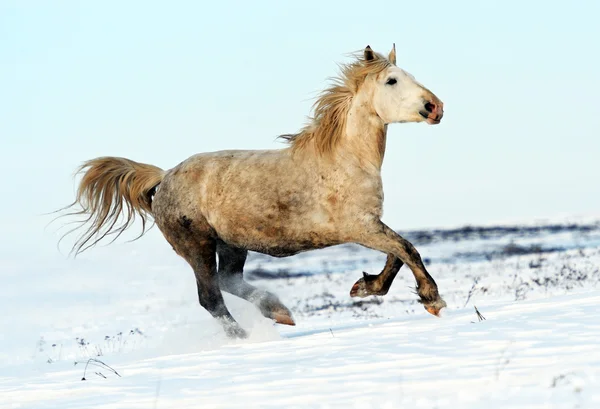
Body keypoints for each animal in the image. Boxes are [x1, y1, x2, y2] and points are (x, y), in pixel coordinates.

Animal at [59, 44, 446, 338]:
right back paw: (244, 337)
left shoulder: (369, 225)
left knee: (229, 280)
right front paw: (432, 300)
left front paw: (364, 287)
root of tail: (164, 177)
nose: (435, 107)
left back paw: (279, 312)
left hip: (232, 244)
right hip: (197, 245)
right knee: (211, 296)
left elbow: (397, 254)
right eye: (392, 80)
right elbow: (407, 249)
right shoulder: (358, 227)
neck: (344, 159)